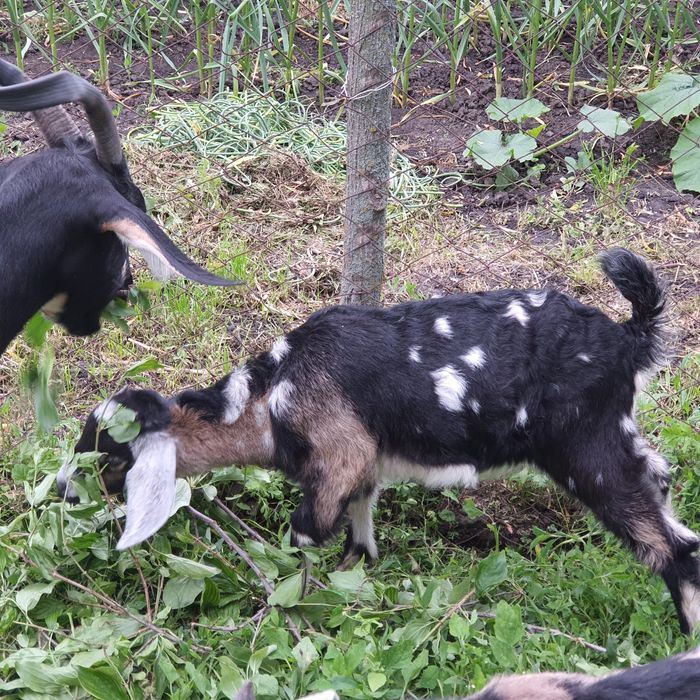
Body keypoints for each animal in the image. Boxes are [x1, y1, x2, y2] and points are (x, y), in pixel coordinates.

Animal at [58, 248, 700, 634]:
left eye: (108, 452)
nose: (62, 490)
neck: (269, 394)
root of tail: (628, 339)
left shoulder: (338, 454)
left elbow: (305, 531)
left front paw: (297, 602)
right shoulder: (362, 464)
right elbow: (360, 537)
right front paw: (354, 587)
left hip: (587, 451)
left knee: (671, 546)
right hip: (622, 439)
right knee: (670, 497)